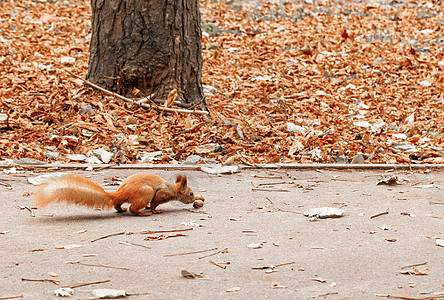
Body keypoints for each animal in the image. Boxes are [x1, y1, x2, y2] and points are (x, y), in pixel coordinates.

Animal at [32, 173, 195, 216]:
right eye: (191, 193)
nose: (194, 199)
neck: (173, 189)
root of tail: (120, 192)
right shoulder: (161, 194)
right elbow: (155, 202)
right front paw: (154, 210)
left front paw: (150, 208)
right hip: (146, 193)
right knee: (133, 208)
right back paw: (142, 213)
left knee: (118, 204)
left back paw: (121, 209)